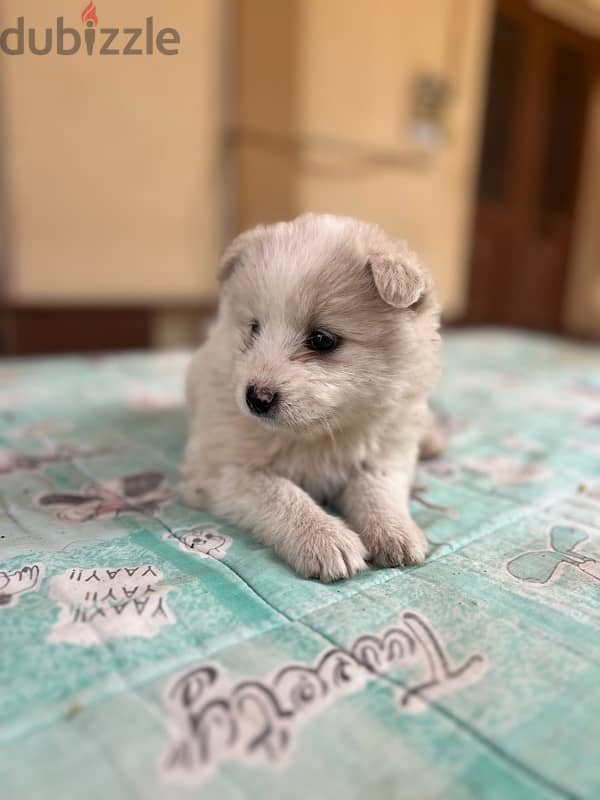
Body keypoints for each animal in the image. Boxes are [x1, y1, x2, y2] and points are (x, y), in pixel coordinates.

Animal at [182, 216, 440, 584]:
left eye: (321, 340)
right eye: (254, 327)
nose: (255, 398)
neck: (316, 434)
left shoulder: (386, 453)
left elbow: (377, 489)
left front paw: (397, 533)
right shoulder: (222, 470)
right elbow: (281, 493)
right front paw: (326, 539)